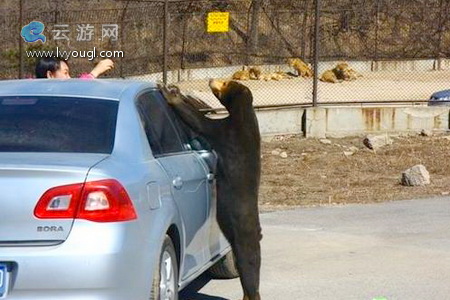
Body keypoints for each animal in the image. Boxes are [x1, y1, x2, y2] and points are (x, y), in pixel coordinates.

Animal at [162, 79, 262, 300]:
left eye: (224, 83)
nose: (210, 80)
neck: (244, 113)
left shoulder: (227, 133)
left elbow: (200, 122)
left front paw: (170, 93)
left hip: (244, 242)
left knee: (249, 272)